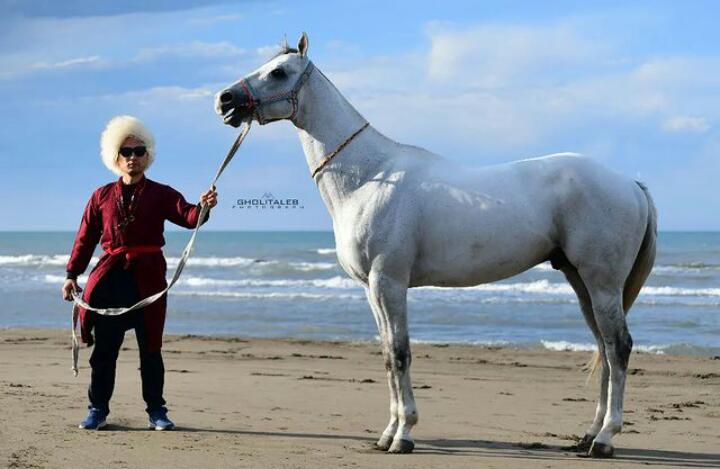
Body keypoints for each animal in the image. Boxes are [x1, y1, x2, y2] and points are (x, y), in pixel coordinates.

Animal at [214, 33, 660, 458]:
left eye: (278, 72)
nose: (225, 100)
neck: (369, 176)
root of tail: (630, 184)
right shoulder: (372, 289)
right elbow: (387, 356)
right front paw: (387, 434)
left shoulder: (389, 282)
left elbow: (400, 353)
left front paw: (404, 435)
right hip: (582, 282)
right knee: (603, 347)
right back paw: (589, 435)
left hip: (601, 282)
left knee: (618, 348)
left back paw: (605, 439)